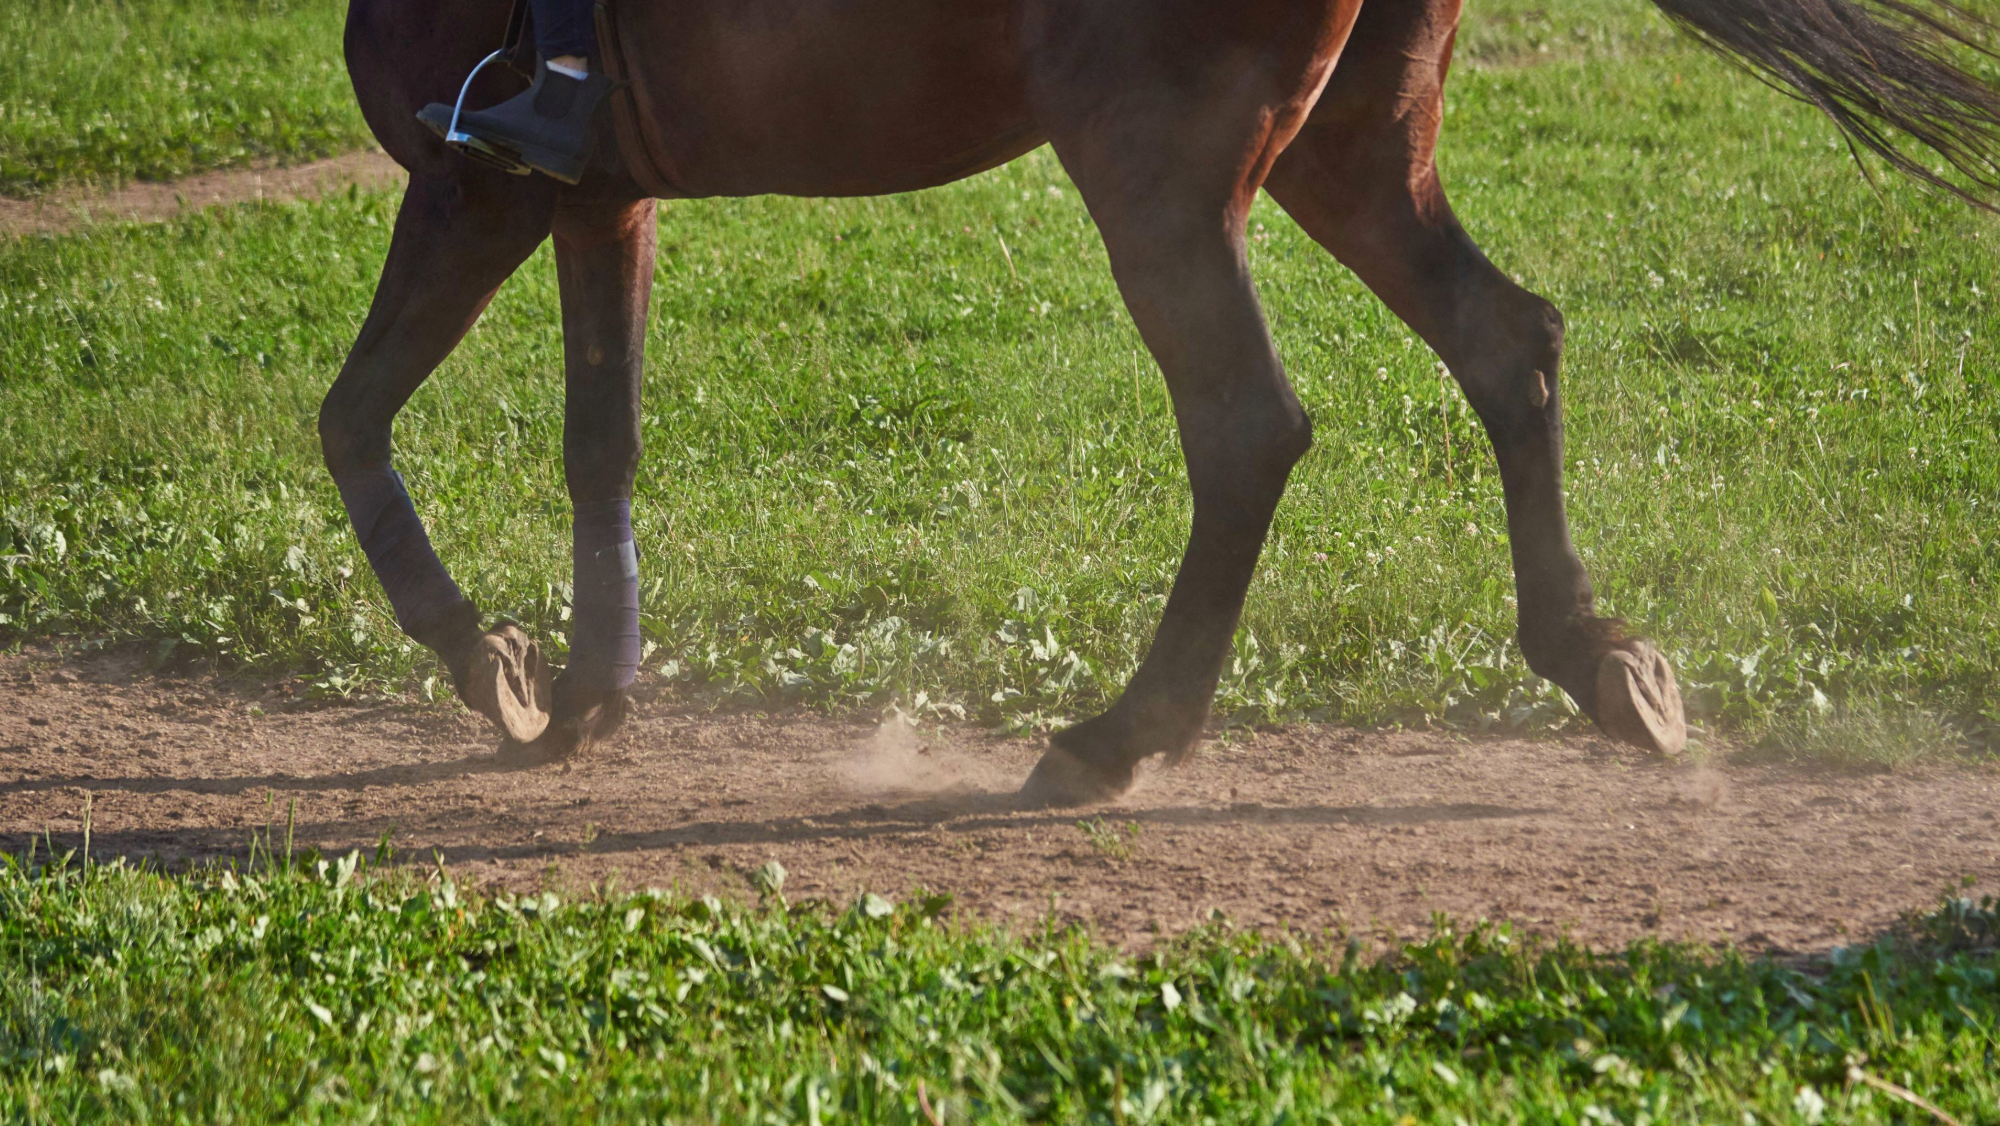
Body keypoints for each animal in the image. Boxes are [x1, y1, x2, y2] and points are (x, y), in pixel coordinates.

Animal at [329, 0, 2000, 805]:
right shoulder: (591, 193)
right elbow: (596, 430)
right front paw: (578, 689)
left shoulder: (480, 185)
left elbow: (350, 416)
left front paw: (487, 658)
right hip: (1347, 150)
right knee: (1506, 341)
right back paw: (1601, 660)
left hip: (1155, 160)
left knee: (1249, 424)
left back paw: (1120, 733)